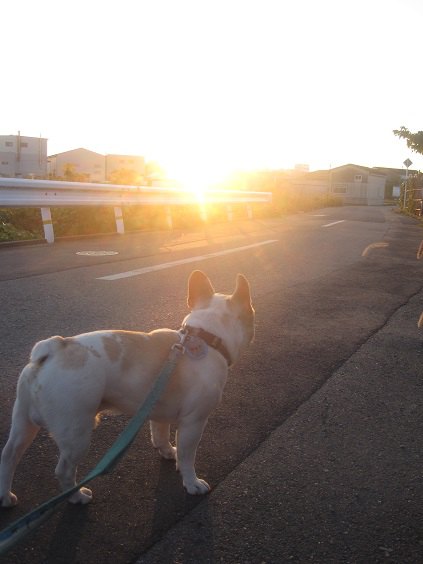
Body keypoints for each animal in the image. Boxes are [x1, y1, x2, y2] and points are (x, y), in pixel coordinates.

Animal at [0, 270, 255, 506]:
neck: (207, 338)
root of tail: (54, 348)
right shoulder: (194, 422)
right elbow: (187, 455)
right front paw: (192, 483)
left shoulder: (158, 411)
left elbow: (160, 435)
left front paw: (167, 452)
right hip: (76, 433)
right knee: (63, 469)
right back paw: (77, 497)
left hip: (23, 422)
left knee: (9, 455)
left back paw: (5, 496)